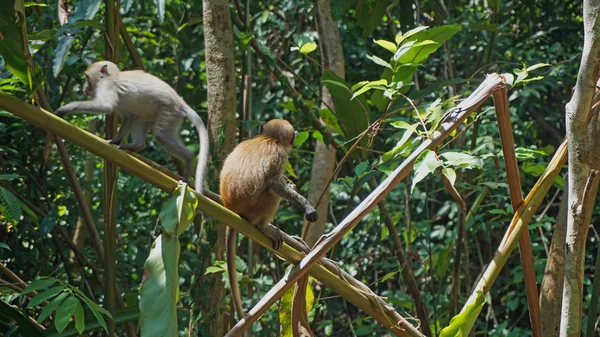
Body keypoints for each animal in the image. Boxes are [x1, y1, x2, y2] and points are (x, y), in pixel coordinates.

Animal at [54, 59, 209, 192]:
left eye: (86, 77)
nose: (84, 87)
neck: (110, 76)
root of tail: (179, 102)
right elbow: (128, 117)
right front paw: (115, 140)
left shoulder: (108, 87)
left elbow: (106, 106)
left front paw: (66, 108)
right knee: (139, 119)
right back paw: (136, 145)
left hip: (169, 112)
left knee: (161, 136)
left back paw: (188, 159)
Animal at [220, 119, 318, 320]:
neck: (268, 139)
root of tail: (232, 208)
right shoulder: (279, 154)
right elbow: (273, 183)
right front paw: (305, 204)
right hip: (255, 208)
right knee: (270, 191)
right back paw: (263, 226)